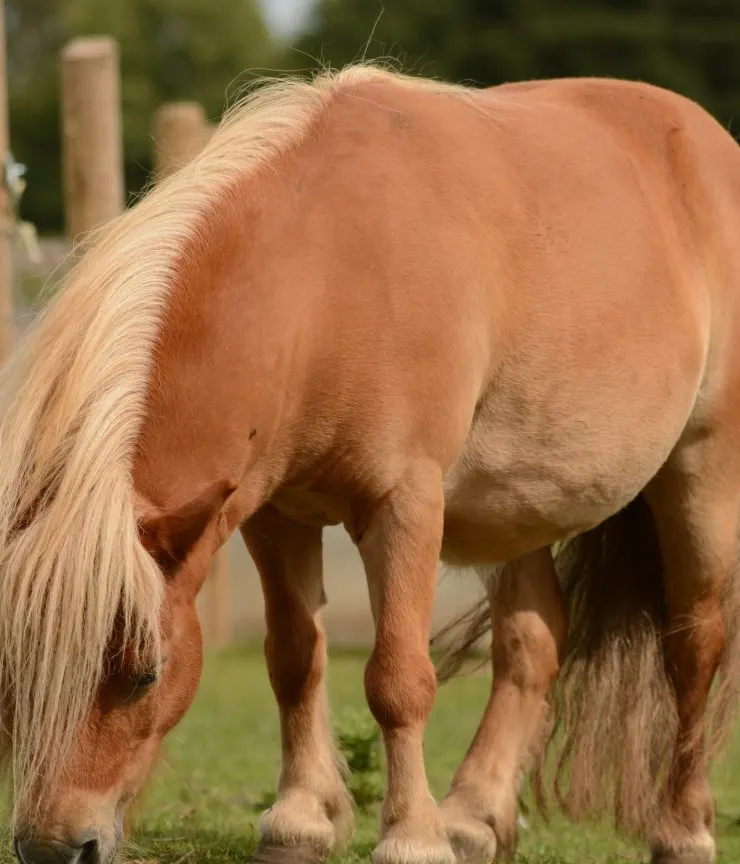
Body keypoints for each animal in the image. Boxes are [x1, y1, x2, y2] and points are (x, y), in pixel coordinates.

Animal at [0, 64, 739, 864]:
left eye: (144, 675)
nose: (56, 846)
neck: (325, 278)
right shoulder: (274, 515)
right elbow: (294, 658)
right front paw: (301, 821)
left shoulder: (404, 504)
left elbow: (397, 679)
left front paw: (411, 837)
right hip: (516, 506)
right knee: (533, 640)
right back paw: (474, 816)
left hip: (701, 480)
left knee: (695, 647)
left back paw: (683, 830)